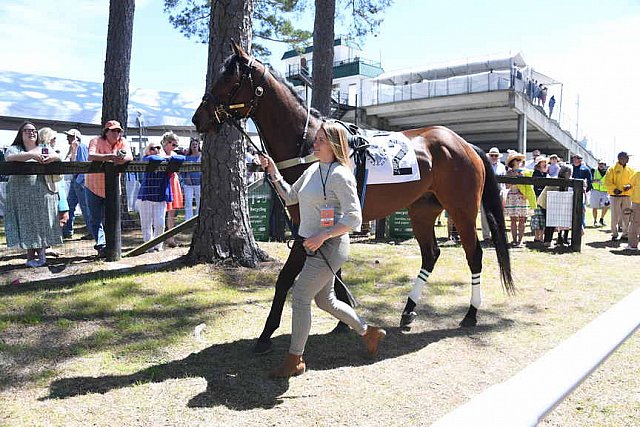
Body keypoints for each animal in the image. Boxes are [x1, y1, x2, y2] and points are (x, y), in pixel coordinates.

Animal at [191, 41, 516, 354]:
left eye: (230, 80)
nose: (198, 118)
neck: (309, 144)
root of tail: (465, 144)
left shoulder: (306, 230)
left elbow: (284, 279)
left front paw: (266, 334)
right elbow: (334, 270)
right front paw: (343, 319)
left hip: (461, 209)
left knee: (474, 255)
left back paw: (471, 313)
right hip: (422, 210)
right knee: (431, 254)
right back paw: (408, 310)